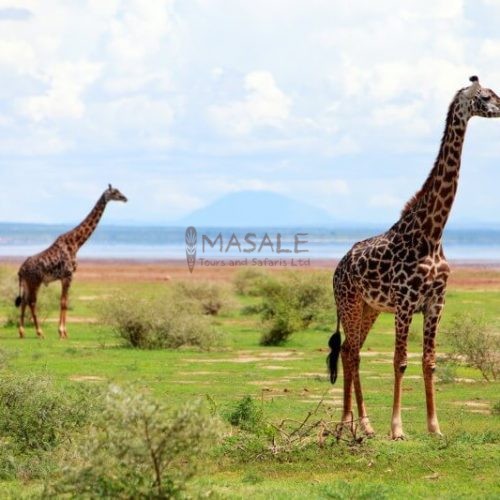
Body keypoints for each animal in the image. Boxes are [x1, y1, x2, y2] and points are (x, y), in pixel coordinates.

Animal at [15, 185, 127, 340]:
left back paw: (22, 332)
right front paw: (62, 332)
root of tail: (21, 269)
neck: (76, 243)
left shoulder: (65, 277)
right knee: (32, 302)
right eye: (115, 192)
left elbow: (64, 301)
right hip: (35, 281)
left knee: (24, 302)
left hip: (27, 283)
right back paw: (40, 332)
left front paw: (64, 332)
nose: (125, 198)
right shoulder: (68, 275)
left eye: (119, 191)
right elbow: (63, 302)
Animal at [326, 76, 500, 440]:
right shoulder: (406, 303)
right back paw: (346, 423)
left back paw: (364, 424)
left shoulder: (436, 302)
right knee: (350, 353)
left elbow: (428, 362)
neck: (432, 234)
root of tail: (338, 266)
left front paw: (435, 428)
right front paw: (397, 429)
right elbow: (400, 361)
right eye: (485, 96)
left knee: (351, 351)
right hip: (349, 303)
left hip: (370, 308)